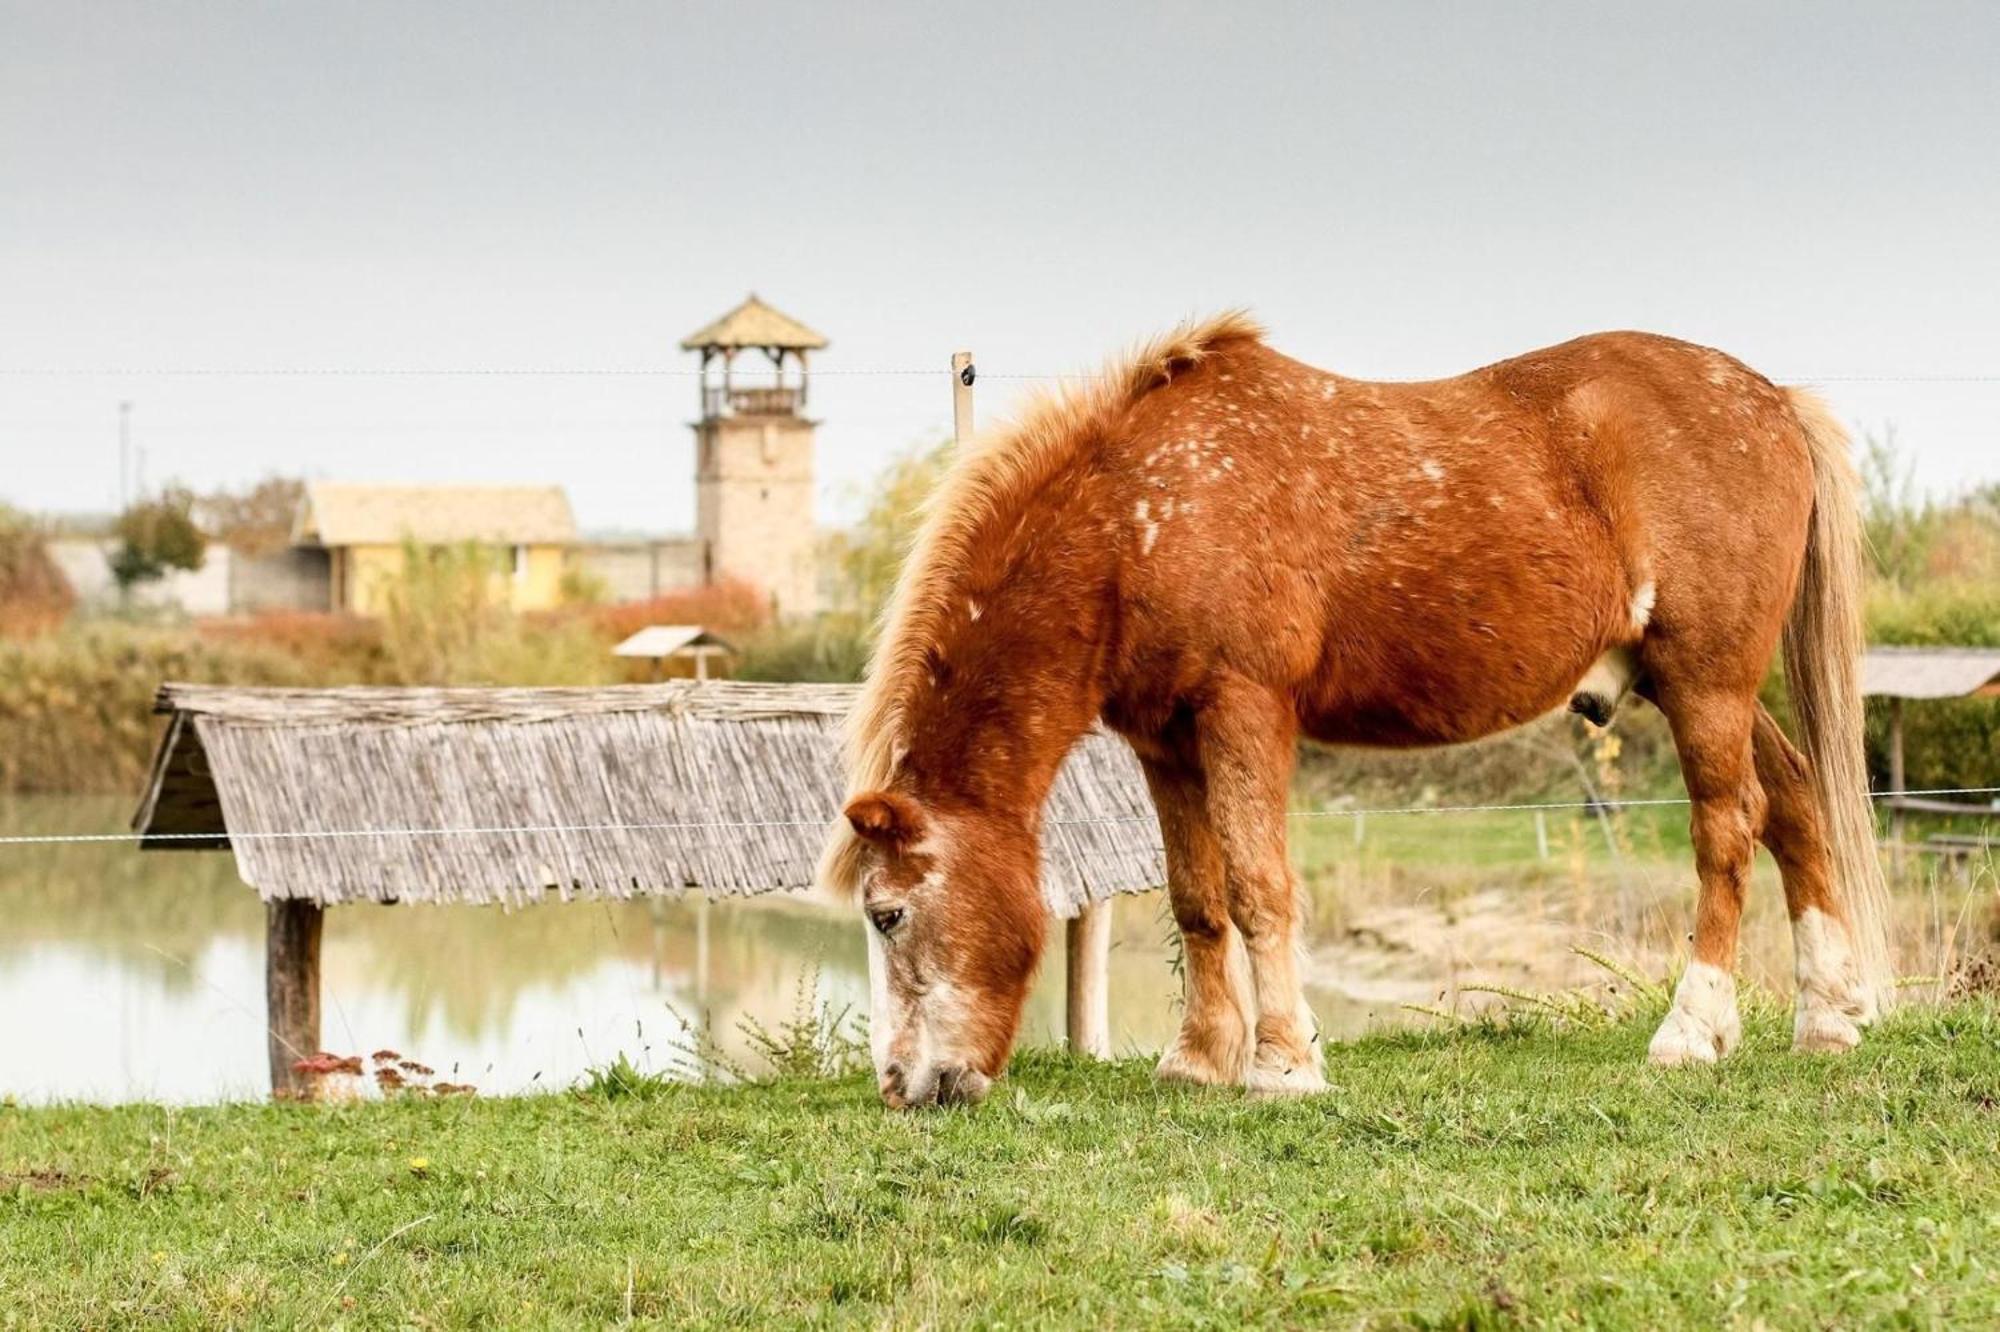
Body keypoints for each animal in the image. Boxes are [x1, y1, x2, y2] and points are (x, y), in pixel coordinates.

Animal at [820, 312, 1896, 1096]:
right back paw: (1826, 1019)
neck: (1141, 515)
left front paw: (1282, 1064)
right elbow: (1197, 899)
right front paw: (1198, 1060)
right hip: (1693, 682)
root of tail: (1769, 398)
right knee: (1796, 804)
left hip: (1705, 681)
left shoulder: (1245, 709)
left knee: (1728, 829)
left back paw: (1691, 1031)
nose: (904, 1086)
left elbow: (1258, 887)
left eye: (886, 915)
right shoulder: (1164, 740)